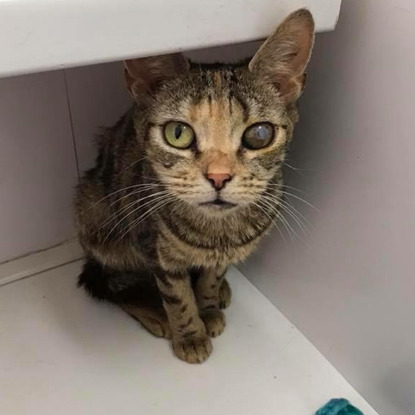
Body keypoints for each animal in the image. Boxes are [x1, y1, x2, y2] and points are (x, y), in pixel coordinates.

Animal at [75, 8, 316, 362]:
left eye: (259, 134)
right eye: (178, 133)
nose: (218, 177)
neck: (216, 233)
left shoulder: (221, 255)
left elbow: (211, 278)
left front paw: (210, 307)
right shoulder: (156, 251)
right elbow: (177, 297)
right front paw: (190, 334)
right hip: (95, 216)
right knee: (112, 284)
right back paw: (153, 311)